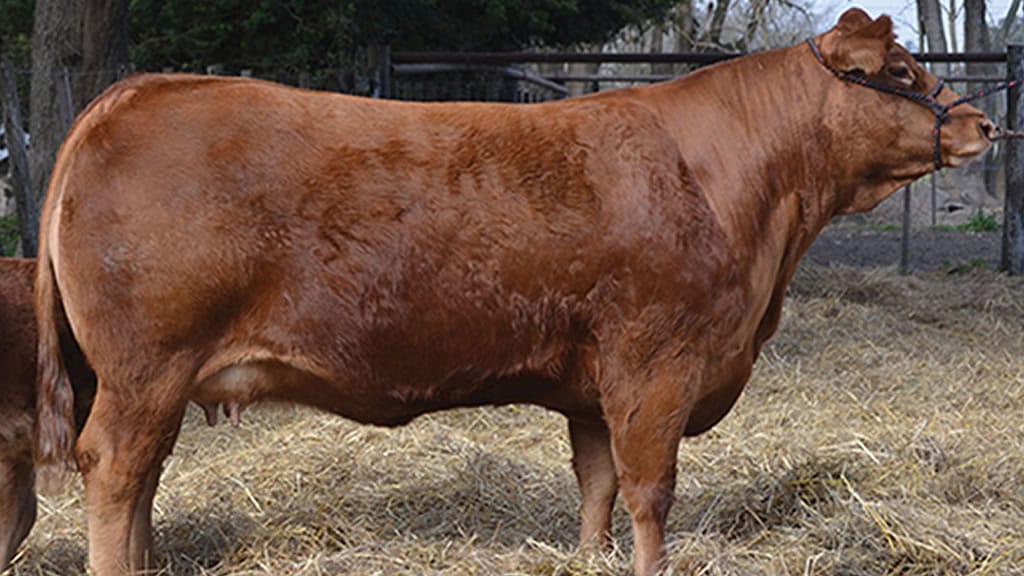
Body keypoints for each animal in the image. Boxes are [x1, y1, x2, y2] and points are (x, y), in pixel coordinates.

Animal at [34, 10, 999, 573]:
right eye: (902, 73)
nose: (986, 122)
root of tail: (134, 93)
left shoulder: (596, 383)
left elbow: (597, 484)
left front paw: (590, 557)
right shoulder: (657, 364)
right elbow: (650, 489)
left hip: (151, 378)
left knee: (144, 481)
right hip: (145, 370)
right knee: (116, 472)